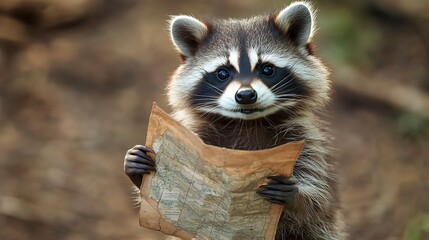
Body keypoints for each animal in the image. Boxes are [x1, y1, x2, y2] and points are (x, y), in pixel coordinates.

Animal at [123, 1, 344, 240]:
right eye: (223, 73)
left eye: (267, 69)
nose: (246, 95)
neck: (247, 122)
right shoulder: (200, 136)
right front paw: (138, 172)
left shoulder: (306, 139)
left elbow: (318, 200)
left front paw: (298, 195)